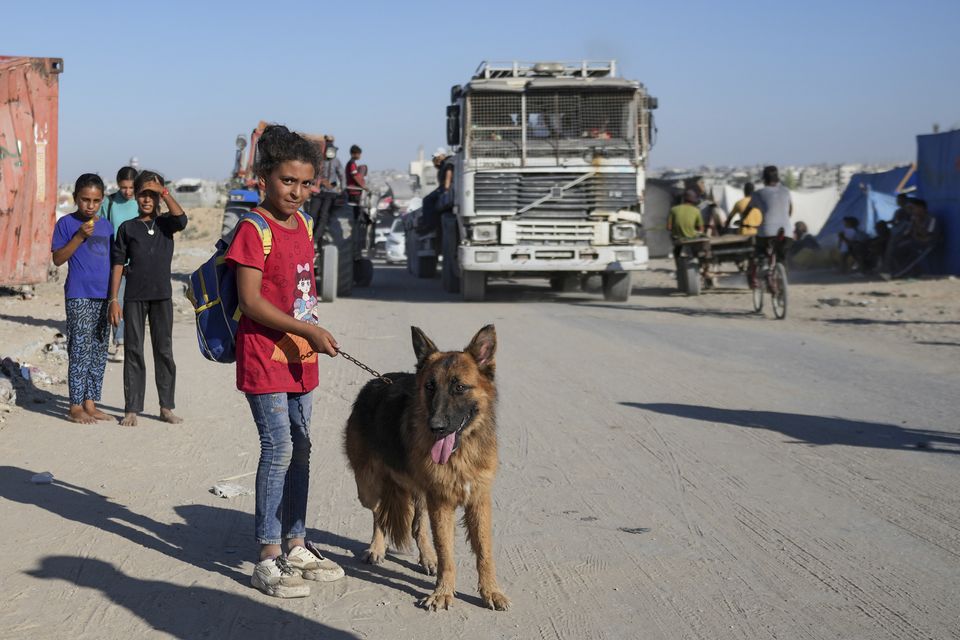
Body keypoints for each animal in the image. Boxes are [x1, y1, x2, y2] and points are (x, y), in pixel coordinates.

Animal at [344, 324, 510, 608]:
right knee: (379, 514)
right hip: (369, 488)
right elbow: (447, 553)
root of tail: (376, 381)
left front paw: (490, 591)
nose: (436, 427)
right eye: (430, 386)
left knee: (417, 526)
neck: (460, 452)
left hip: (421, 493)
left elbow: (484, 551)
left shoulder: (477, 501)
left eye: (460, 387)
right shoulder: (441, 501)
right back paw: (377, 547)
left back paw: (427, 558)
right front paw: (443, 592)